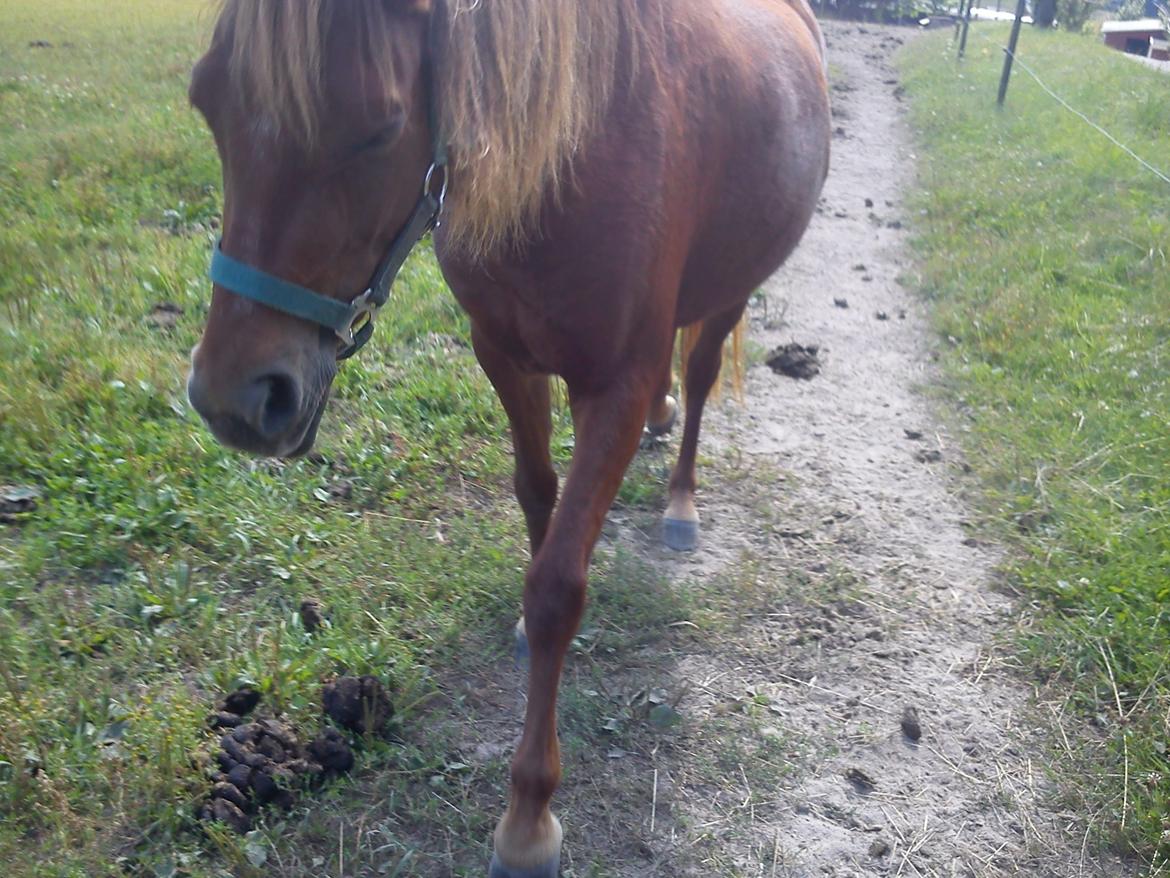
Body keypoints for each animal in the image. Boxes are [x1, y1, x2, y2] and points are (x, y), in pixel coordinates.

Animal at [185, 1, 830, 873]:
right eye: (205, 102)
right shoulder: (503, 355)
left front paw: (528, 819)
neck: (574, 156)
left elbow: (559, 586)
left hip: (735, 287)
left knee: (699, 378)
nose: (233, 399)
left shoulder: (613, 391)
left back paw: (681, 502)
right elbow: (535, 498)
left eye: (381, 129)